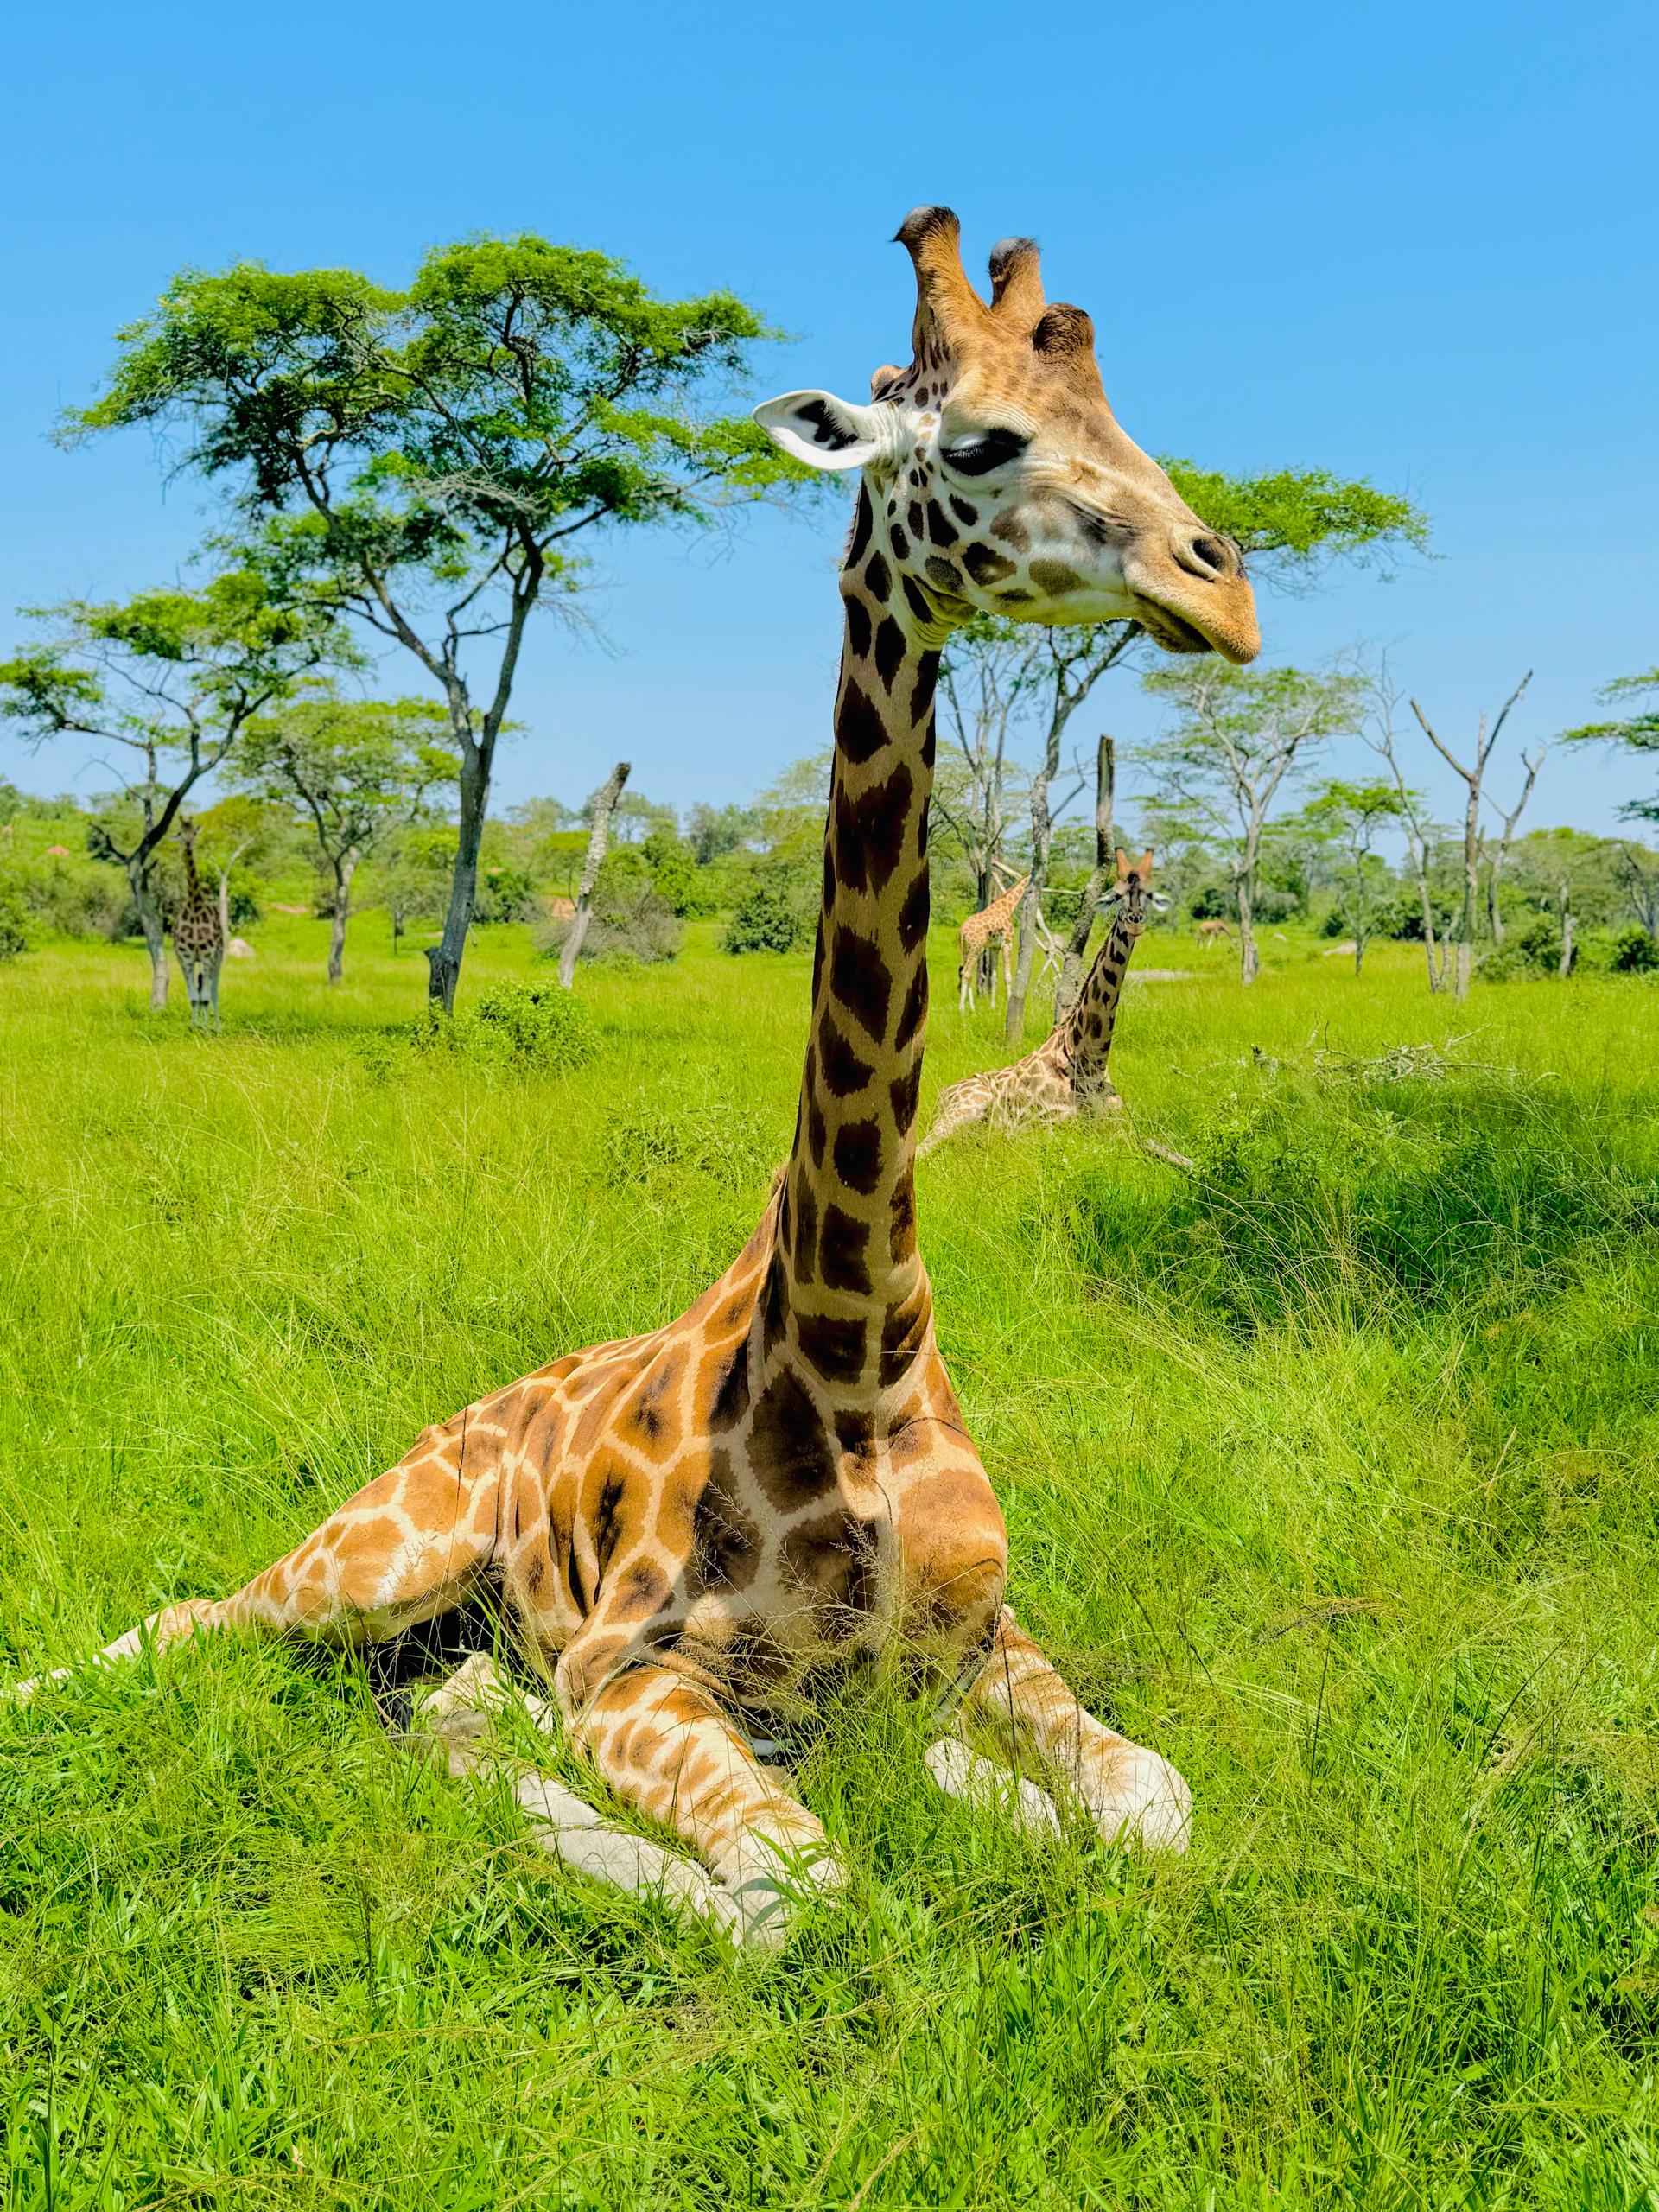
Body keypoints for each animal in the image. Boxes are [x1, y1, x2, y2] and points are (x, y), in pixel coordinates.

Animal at [170, 816, 224, 1029]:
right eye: (179, 832)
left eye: (193, 832)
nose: (187, 844)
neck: (194, 908)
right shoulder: (185, 957)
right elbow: (194, 997)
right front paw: (194, 1027)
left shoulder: (209, 955)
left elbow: (206, 997)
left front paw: (208, 1030)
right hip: (195, 961)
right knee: (201, 990)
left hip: (218, 957)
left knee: (213, 991)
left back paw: (215, 1026)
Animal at [956, 870, 1029, 1012]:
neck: (1007, 908)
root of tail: (963, 931)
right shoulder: (1007, 943)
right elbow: (1007, 975)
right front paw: (1008, 1003)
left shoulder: (995, 947)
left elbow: (994, 976)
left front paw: (993, 1006)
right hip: (976, 948)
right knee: (966, 973)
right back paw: (962, 1009)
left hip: (967, 949)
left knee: (966, 973)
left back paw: (972, 1008)